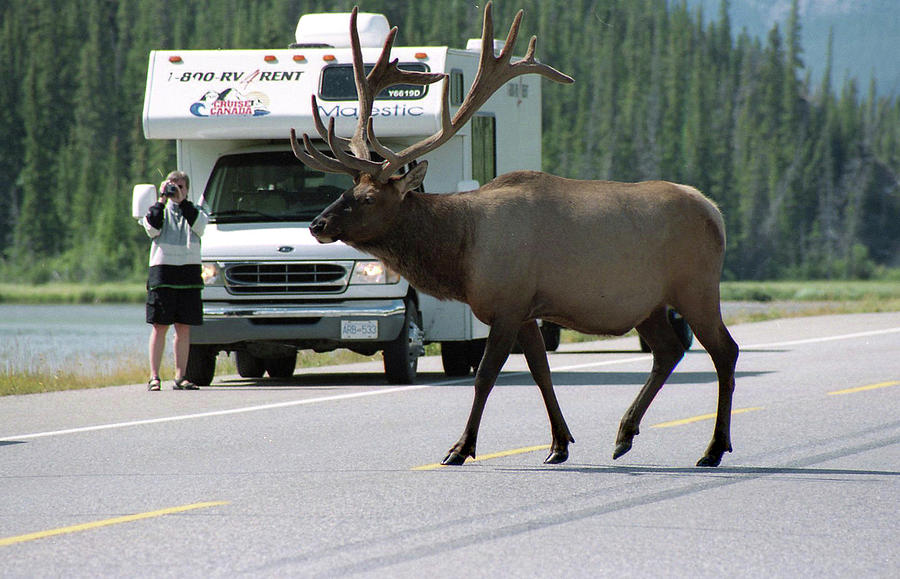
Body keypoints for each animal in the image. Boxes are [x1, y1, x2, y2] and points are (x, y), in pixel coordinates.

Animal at [292, 2, 740, 468]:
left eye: (366, 198)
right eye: (345, 191)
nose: (317, 225)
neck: (460, 255)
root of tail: (716, 212)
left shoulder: (508, 303)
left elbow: (486, 377)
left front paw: (460, 448)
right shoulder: (527, 310)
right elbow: (541, 372)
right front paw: (559, 443)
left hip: (696, 287)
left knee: (724, 351)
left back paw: (713, 448)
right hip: (649, 303)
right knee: (668, 351)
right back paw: (625, 434)